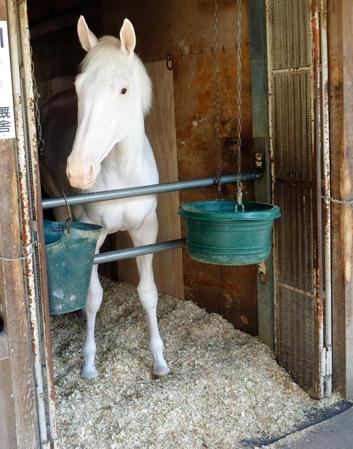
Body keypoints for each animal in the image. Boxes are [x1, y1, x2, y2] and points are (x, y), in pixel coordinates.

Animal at [42, 15, 169, 378]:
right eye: (79, 87)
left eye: (123, 90)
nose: (78, 170)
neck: (123, 175)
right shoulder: (92, 236)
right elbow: (93, 297)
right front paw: (88, 363)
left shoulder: (146, 230)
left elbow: (148, 293)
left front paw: (160, 360)